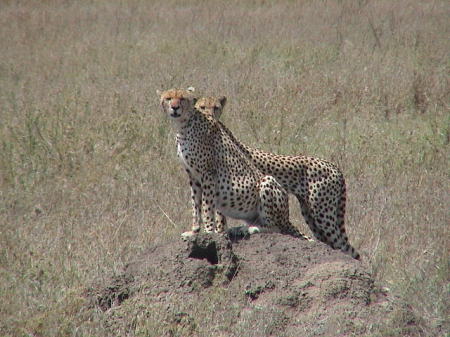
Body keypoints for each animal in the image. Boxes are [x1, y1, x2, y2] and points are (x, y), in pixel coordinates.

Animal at [156, 88, 312, 242]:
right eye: (169, 98)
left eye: (182, 98)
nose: (175, 107)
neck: (183, 125)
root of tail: (287, 217)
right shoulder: (193, 176)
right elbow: (196, 206)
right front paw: (194, 232)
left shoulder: (208, 174)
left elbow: (207, 206)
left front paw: (209, 232)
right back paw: (238, 228)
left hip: (267, 181)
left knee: (275, 228)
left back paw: (247, 229)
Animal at [195, 96, 360, 258]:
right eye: (202, 107)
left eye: (216, 107)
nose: (210, 115)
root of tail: (334, 166)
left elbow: (219, 217)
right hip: (311, 215)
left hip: (322, 214)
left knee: (342, 245)